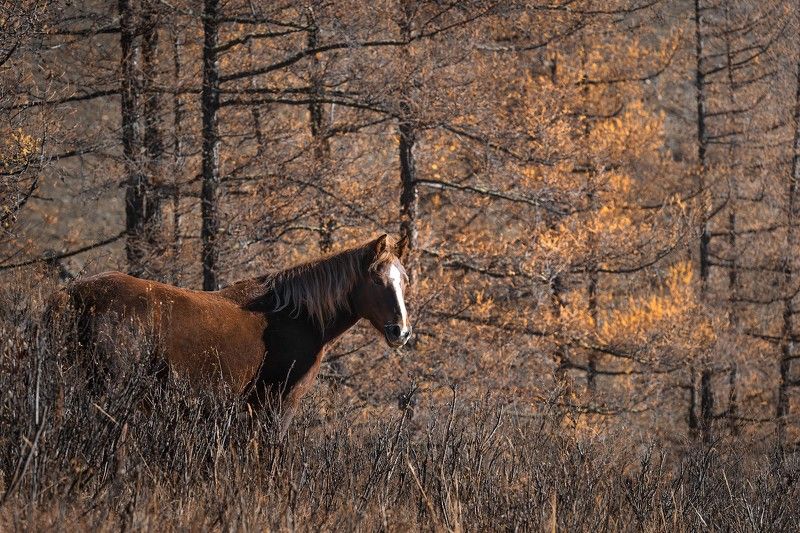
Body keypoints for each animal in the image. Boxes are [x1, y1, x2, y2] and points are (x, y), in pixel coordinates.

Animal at [63, 235, 412, 430]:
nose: (401, 331)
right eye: (377, 280)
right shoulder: (278, 405)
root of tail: (77, 293)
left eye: (404, 280)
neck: (294, 316)